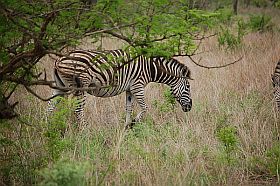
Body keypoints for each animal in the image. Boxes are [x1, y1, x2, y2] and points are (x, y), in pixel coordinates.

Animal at [48, 49, 192, 128]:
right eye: (188, 87)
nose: (190, 107)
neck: (151, 68)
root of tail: (59, 60)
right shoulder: (137, 86)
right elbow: (145, 108)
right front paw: (134, 122)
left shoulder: (130, 89)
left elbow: (129, 108)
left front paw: (127, 127)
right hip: (80, 86)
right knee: (78, 110)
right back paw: (84, 131)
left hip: (60, 87)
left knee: (50, 106)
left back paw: (46, 128)